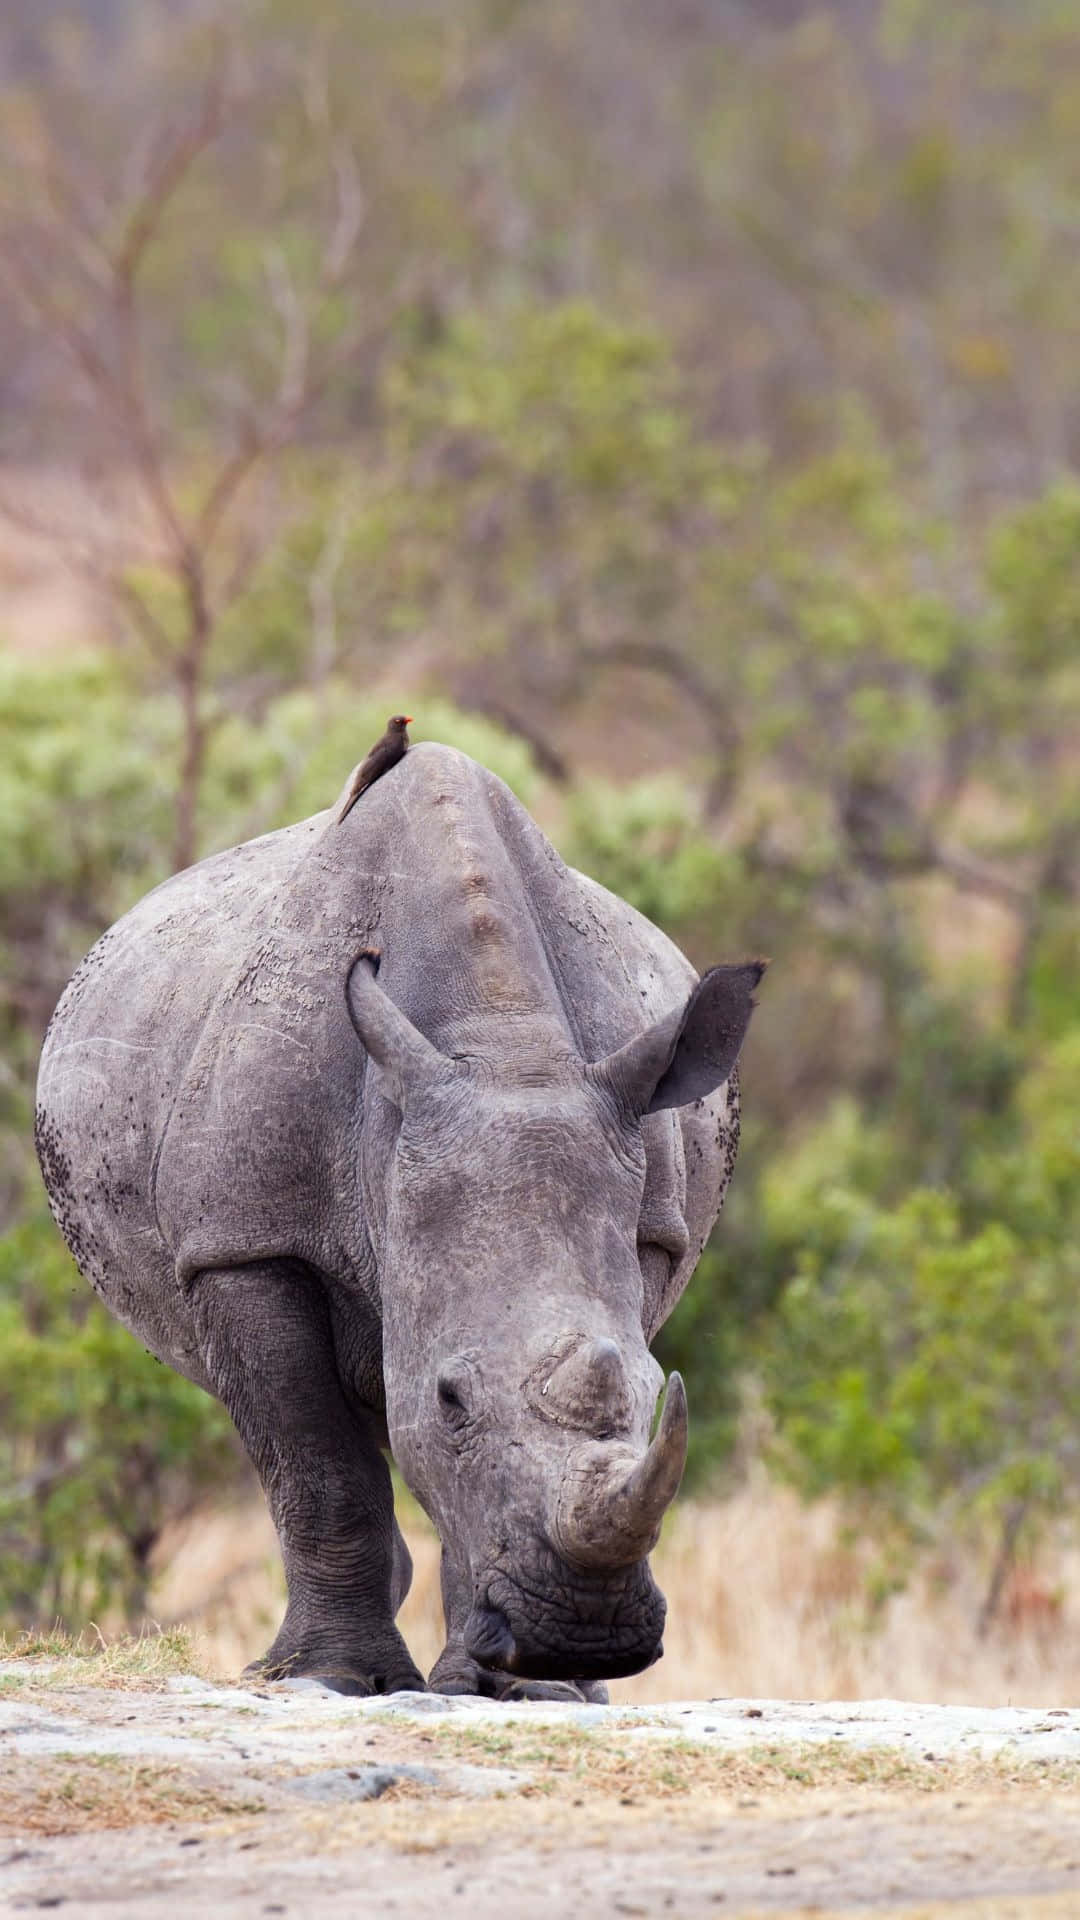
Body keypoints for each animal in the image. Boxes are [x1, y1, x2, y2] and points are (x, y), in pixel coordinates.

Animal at [35, 743, 763, 1700]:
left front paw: (515, 1690)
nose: (585, 1633)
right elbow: (320, 1466)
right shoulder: (244, 1243)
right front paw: (334, 1677)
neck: (504, 1045)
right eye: (450, 1399)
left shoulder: (647, 1231)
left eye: (653, 1400)